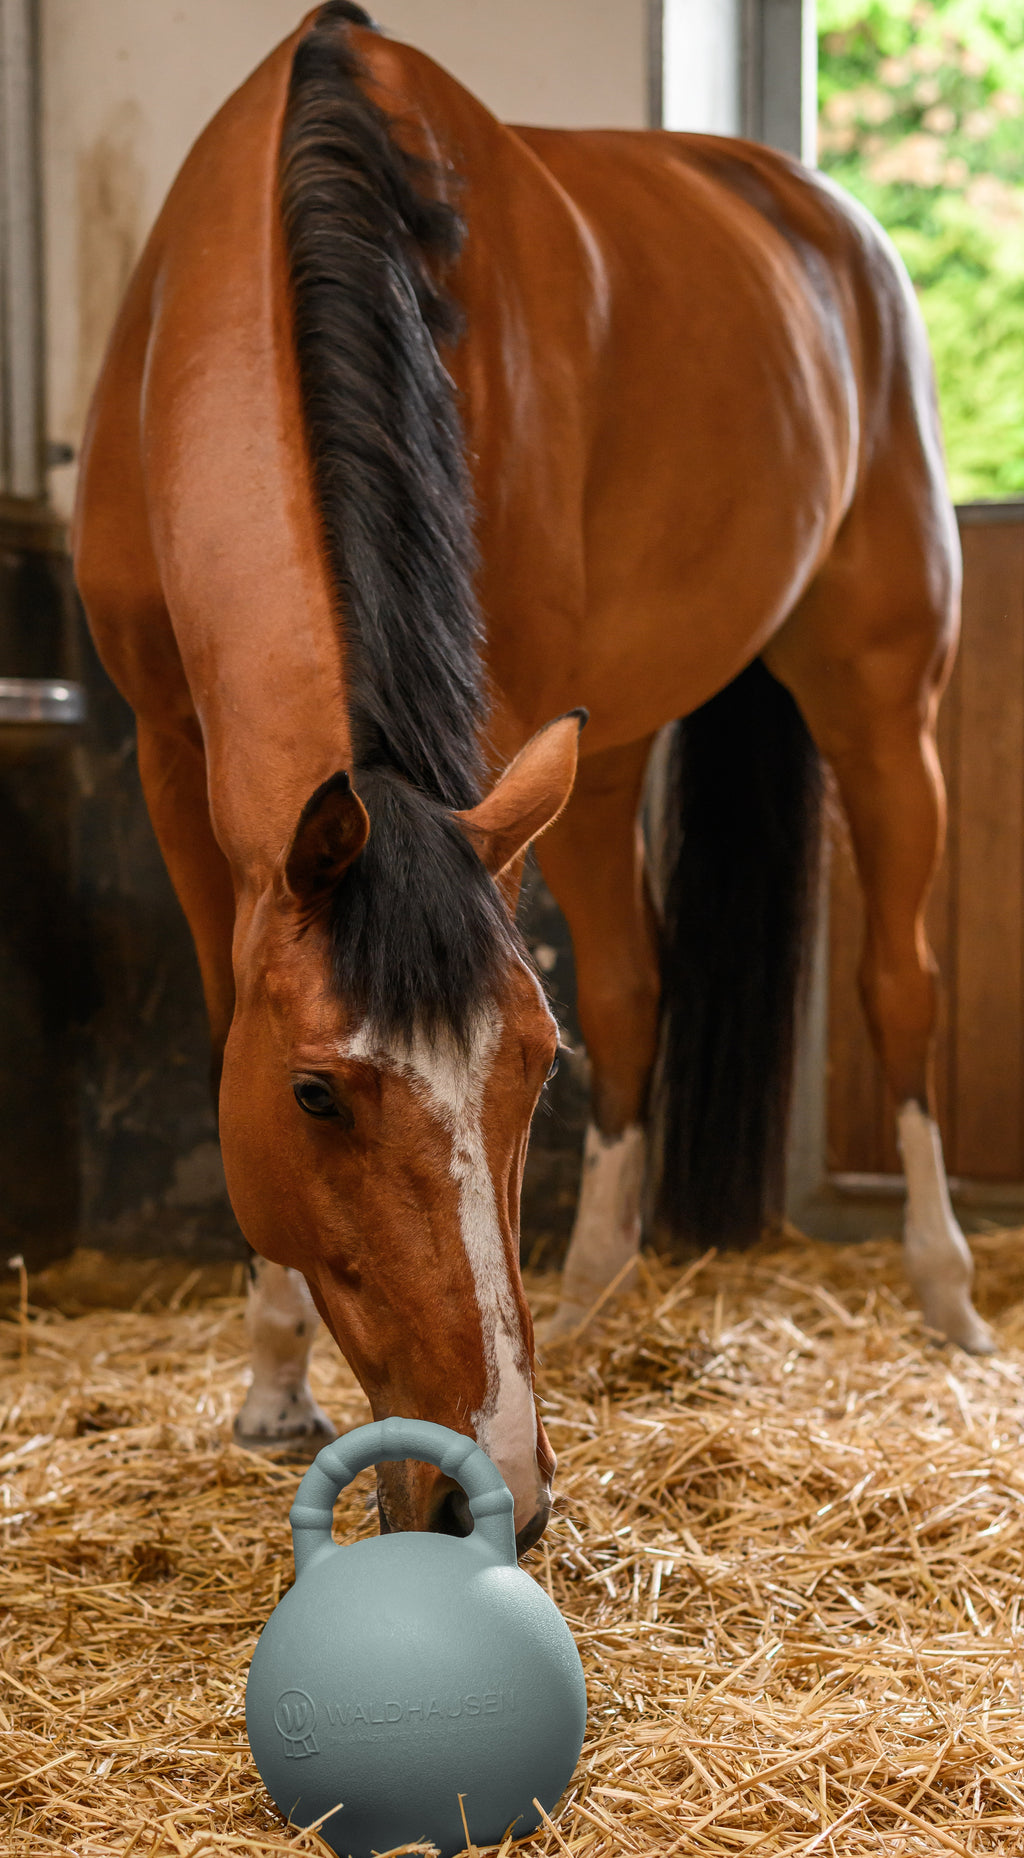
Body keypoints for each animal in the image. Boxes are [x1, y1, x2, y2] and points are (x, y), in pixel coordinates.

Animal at [72, 1, 993, 1552]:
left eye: (523, 1070)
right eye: (313, 1094)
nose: (484, 1483)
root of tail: (817, 210)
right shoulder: (167, 751)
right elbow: (220, 1028)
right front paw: (270, 1381)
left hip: (881, 695)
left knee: (898, 985)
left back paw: (945, 1289)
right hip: (600, 753)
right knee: (633, 985)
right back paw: (594, 1288)